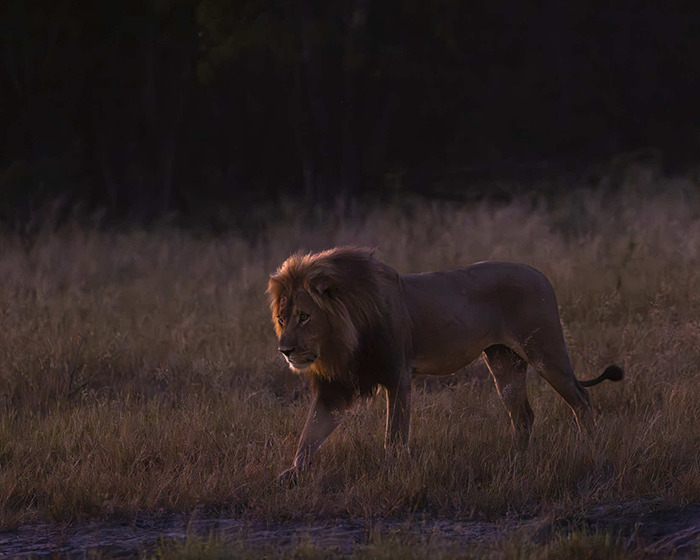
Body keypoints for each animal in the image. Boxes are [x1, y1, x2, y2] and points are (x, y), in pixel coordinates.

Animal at [268, 247, 623, 483]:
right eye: (283, 318)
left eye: (305, 316)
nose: (285, 350)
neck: (344, 338)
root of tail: (539, 273)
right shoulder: (335, 388)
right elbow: (310, 432)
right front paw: (292, 473)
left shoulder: (398, 376)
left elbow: (394, 433)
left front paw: (393, 470)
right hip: (503, 362)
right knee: (523, 415)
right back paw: (515, 462)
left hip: (546, 352)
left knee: (581, 399)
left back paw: (591, 449)